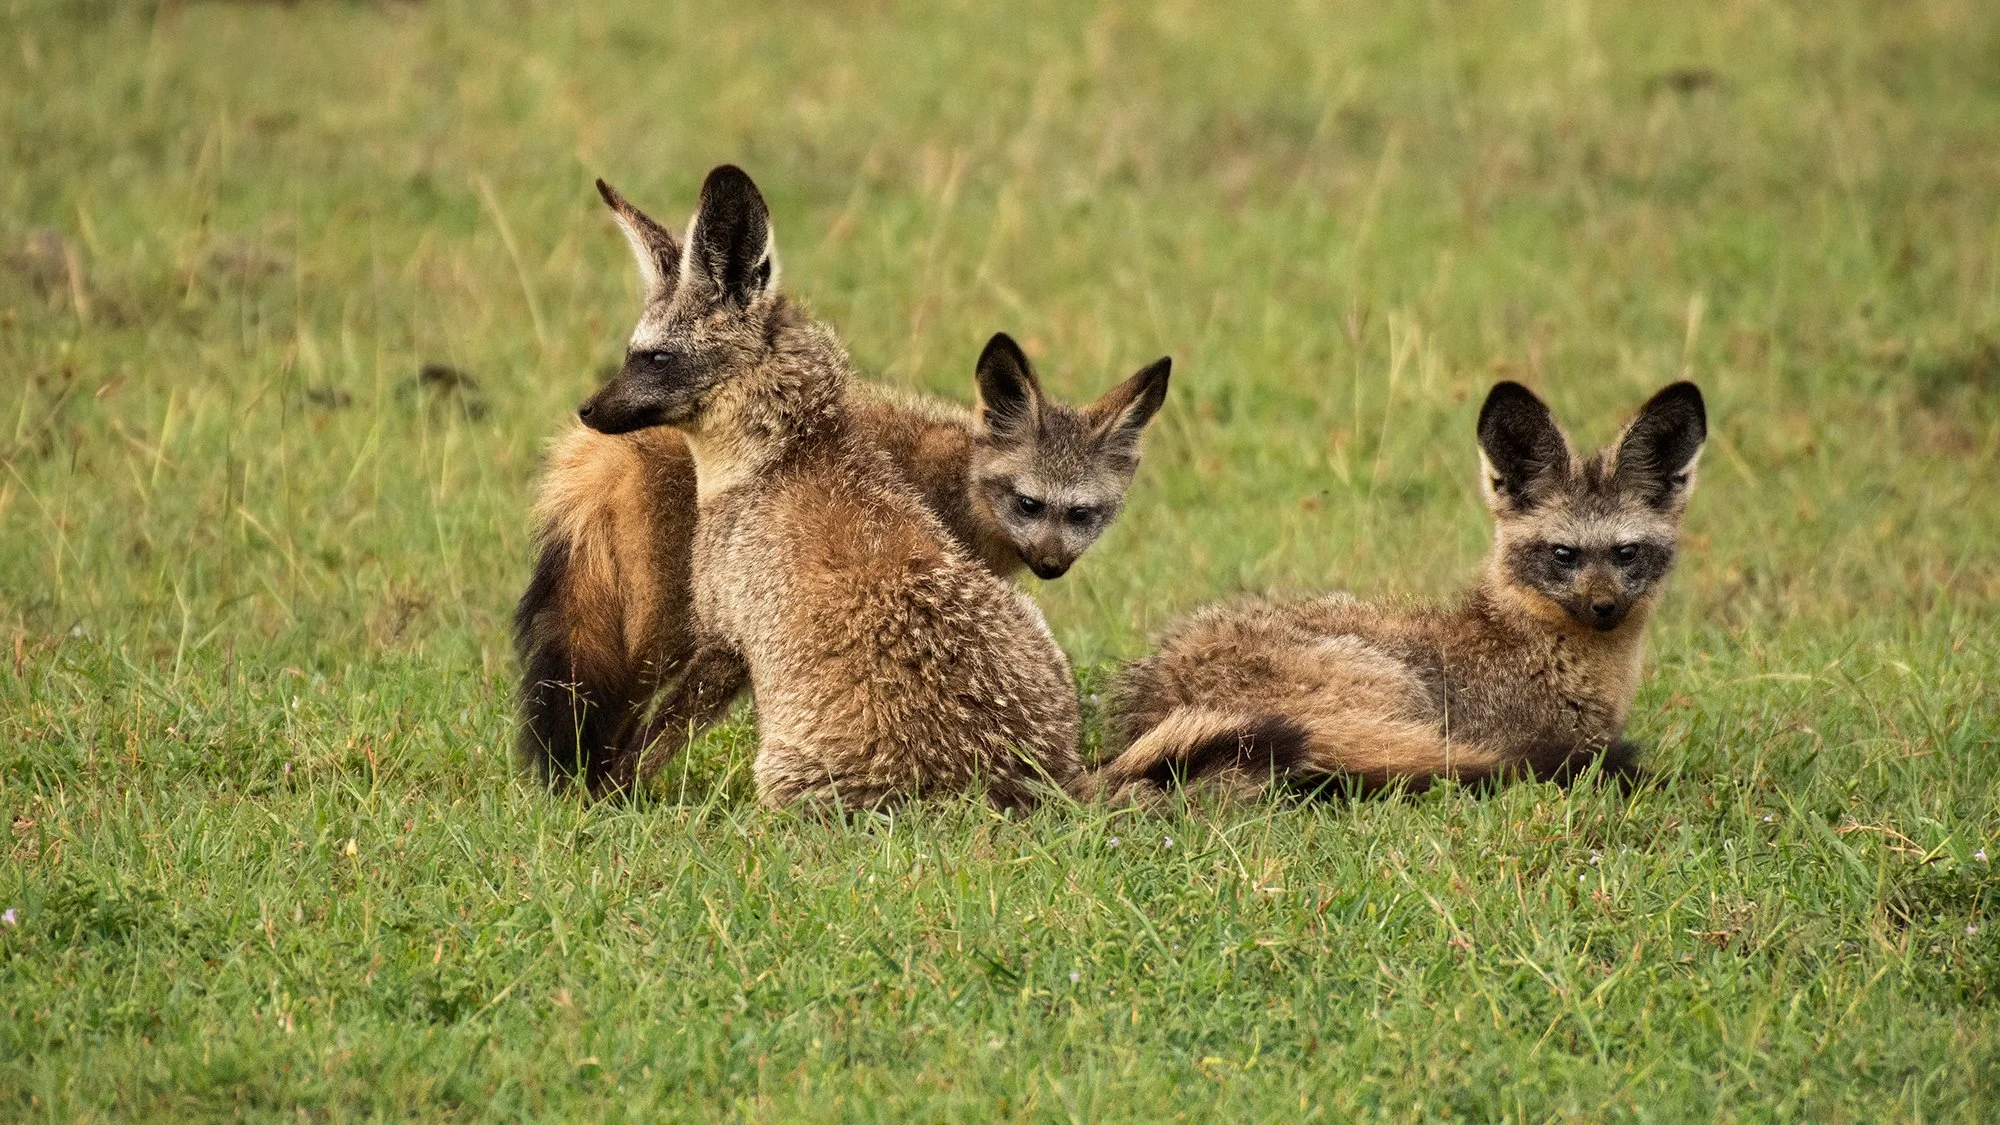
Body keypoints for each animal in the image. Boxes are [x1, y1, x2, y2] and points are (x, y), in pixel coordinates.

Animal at [534, 164, 1110, 809]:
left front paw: (604, 800)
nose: (586, 411)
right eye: (631, 354)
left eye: (654, 358)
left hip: (777, 774)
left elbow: (646, 741)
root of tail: (1010, 786)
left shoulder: (726, 641)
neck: (786, 453)